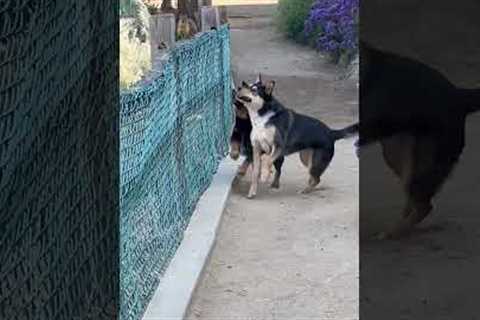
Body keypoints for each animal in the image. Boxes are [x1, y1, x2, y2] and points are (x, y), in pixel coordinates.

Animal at [360, 41, 480, 239]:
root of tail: (459, 96)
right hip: (398, 154)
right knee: (414, 202)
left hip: (423, 164)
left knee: (423, 206)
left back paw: (391, 234)